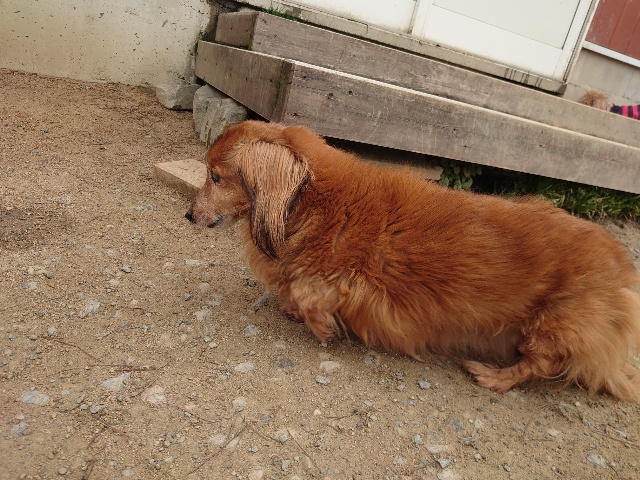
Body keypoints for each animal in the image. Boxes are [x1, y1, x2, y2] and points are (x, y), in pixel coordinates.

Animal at [186, 120, 640, 401]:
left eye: (215, 176)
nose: (189, 215)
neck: (306, 201)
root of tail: (623, 270)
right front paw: (296, 311)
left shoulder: (352, 282)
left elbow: (306, 291)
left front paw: (319, 324)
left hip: (554, 324)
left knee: (542, 364)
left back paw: (495, 376)